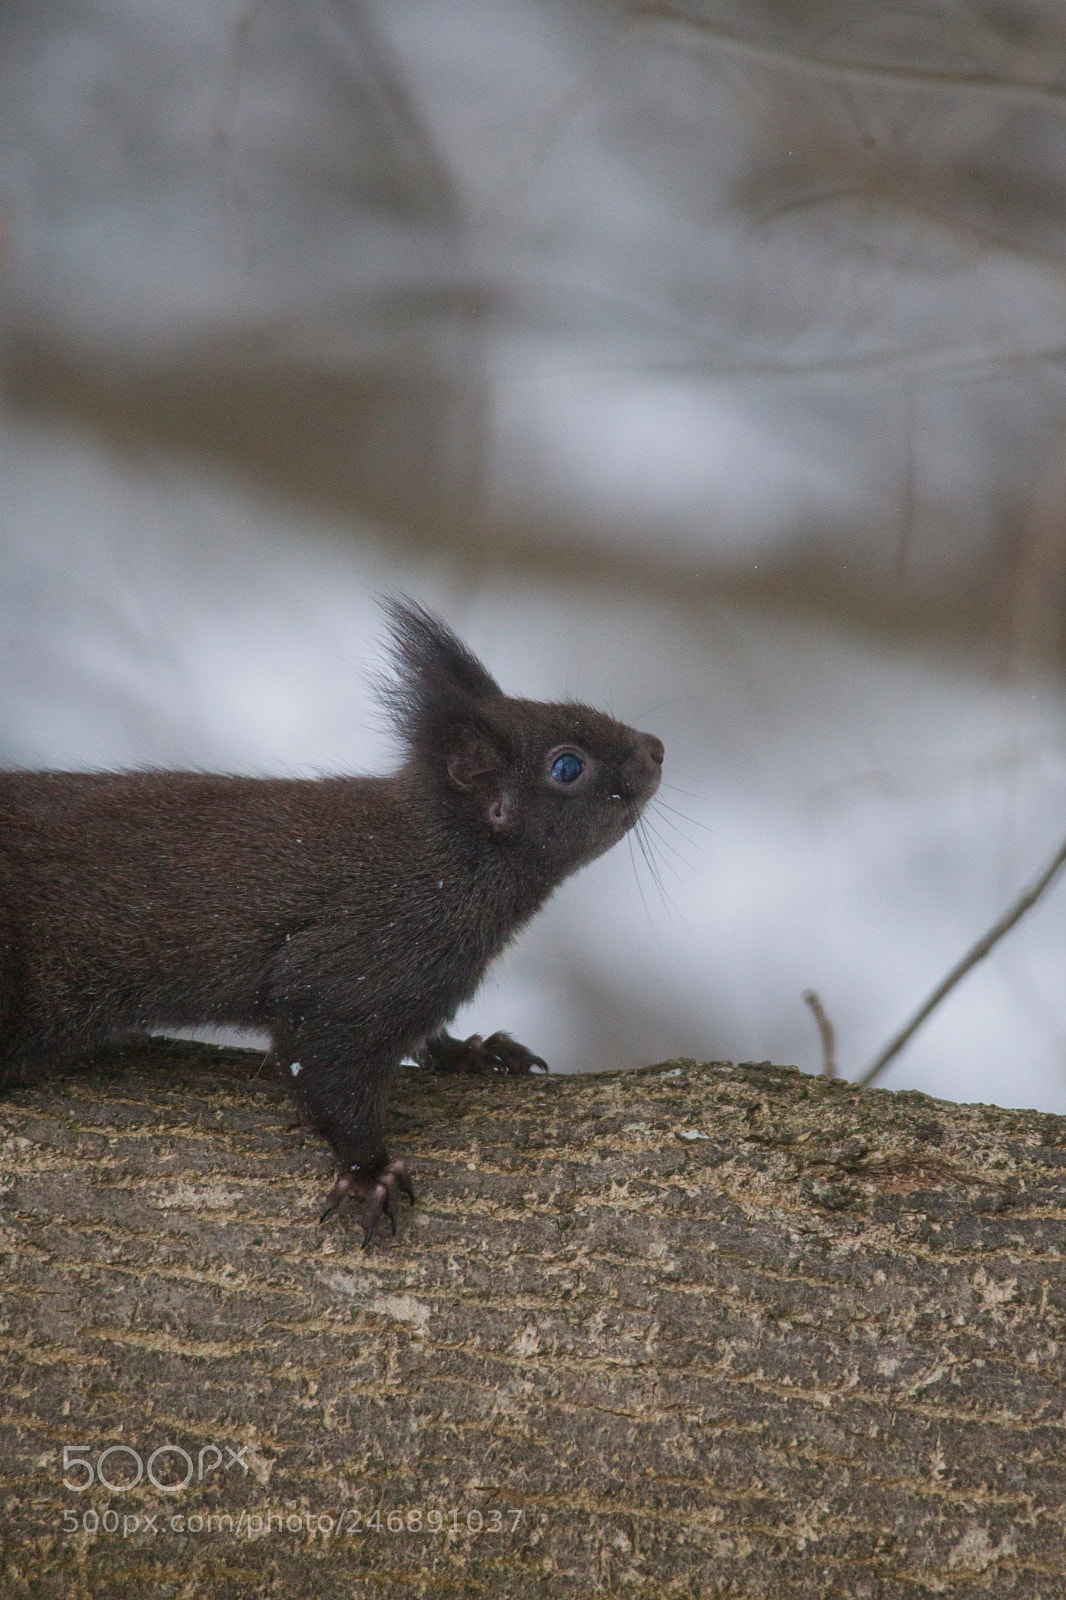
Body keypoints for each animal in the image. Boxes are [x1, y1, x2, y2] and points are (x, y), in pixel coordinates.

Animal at [0, 598, 664, 1245]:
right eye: (567, 767)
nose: (656, 749)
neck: (448, 860)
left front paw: (473, 1053)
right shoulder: (357, 962)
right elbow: (324, 1066)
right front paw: (367, 1171)